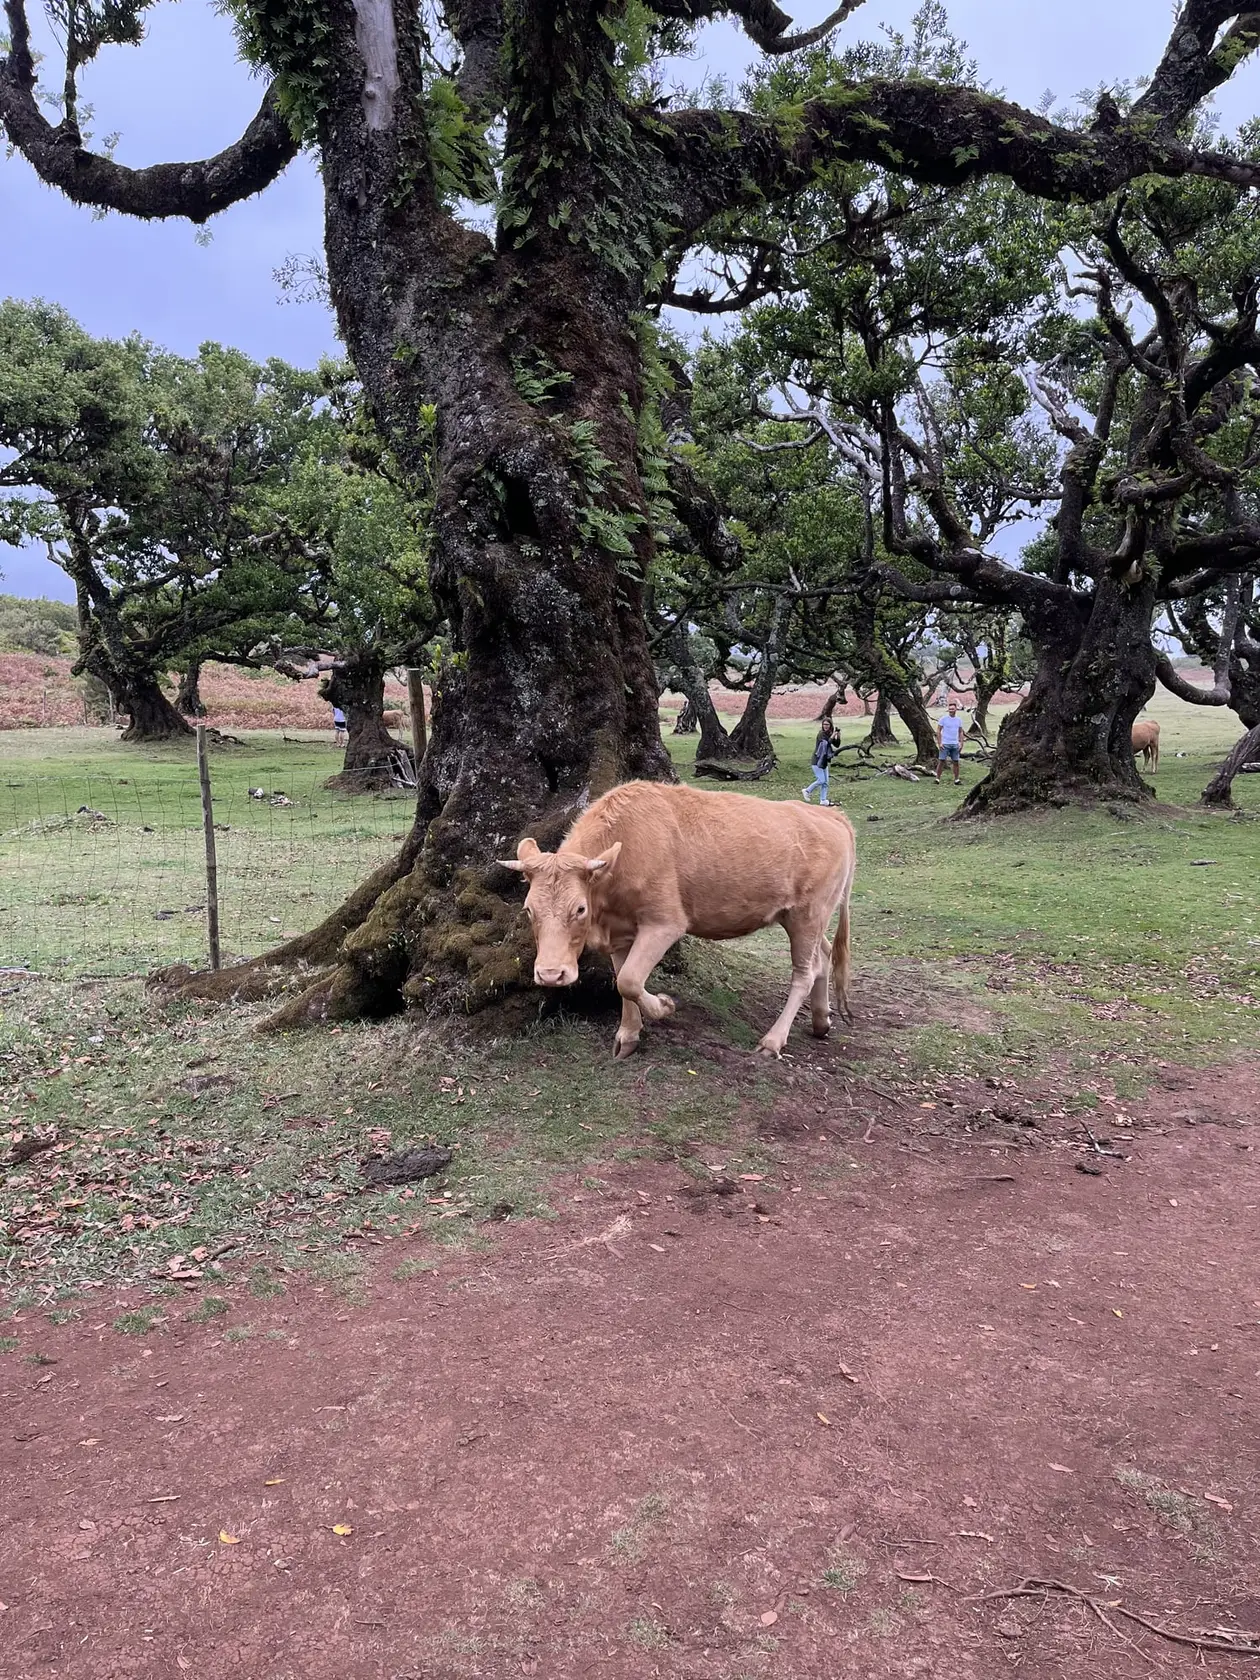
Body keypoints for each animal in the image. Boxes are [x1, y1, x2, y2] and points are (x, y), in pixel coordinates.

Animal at [501, 780, 857, 1060]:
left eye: (579, 909)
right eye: (529, 910)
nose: (550, 975)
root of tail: (832, 816)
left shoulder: (664, 923)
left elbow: (630, 979)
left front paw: (664, 1006)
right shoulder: (620, 932)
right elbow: (622, 981)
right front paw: (628, 1035)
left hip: (808, 913)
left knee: (804, 972)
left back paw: (773, 1041)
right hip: (801, 916)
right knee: (824, 956)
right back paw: (821, 1021)